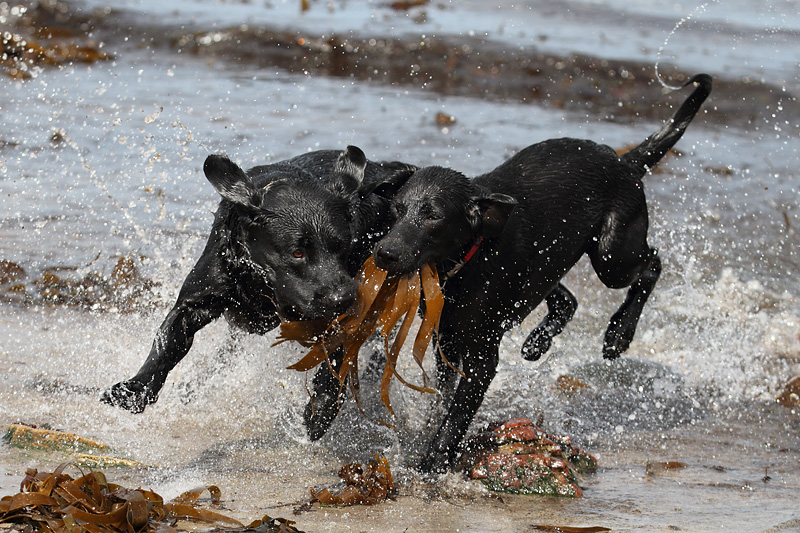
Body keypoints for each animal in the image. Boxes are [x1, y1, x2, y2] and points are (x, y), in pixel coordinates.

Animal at [101, 145, 416, 416]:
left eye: (342, 245)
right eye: (297, 252)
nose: (342, 299)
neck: (260, 279)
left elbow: (338, 357)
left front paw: (322, 410)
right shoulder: (198, 300)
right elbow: (166, 344)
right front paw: (135, 390)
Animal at [370, 74, 712, 470]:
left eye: (433, 216)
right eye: (396, 209)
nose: (385, 253)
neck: (470, 257)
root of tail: (623, 161)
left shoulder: (482, 356)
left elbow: (456, 415)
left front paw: (434, 461)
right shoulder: (448, 341)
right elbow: (442, 398)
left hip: (611, 255)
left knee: (653, 263)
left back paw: (619, 333)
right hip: (554, 264)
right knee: (567, 298)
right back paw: (538, 341)